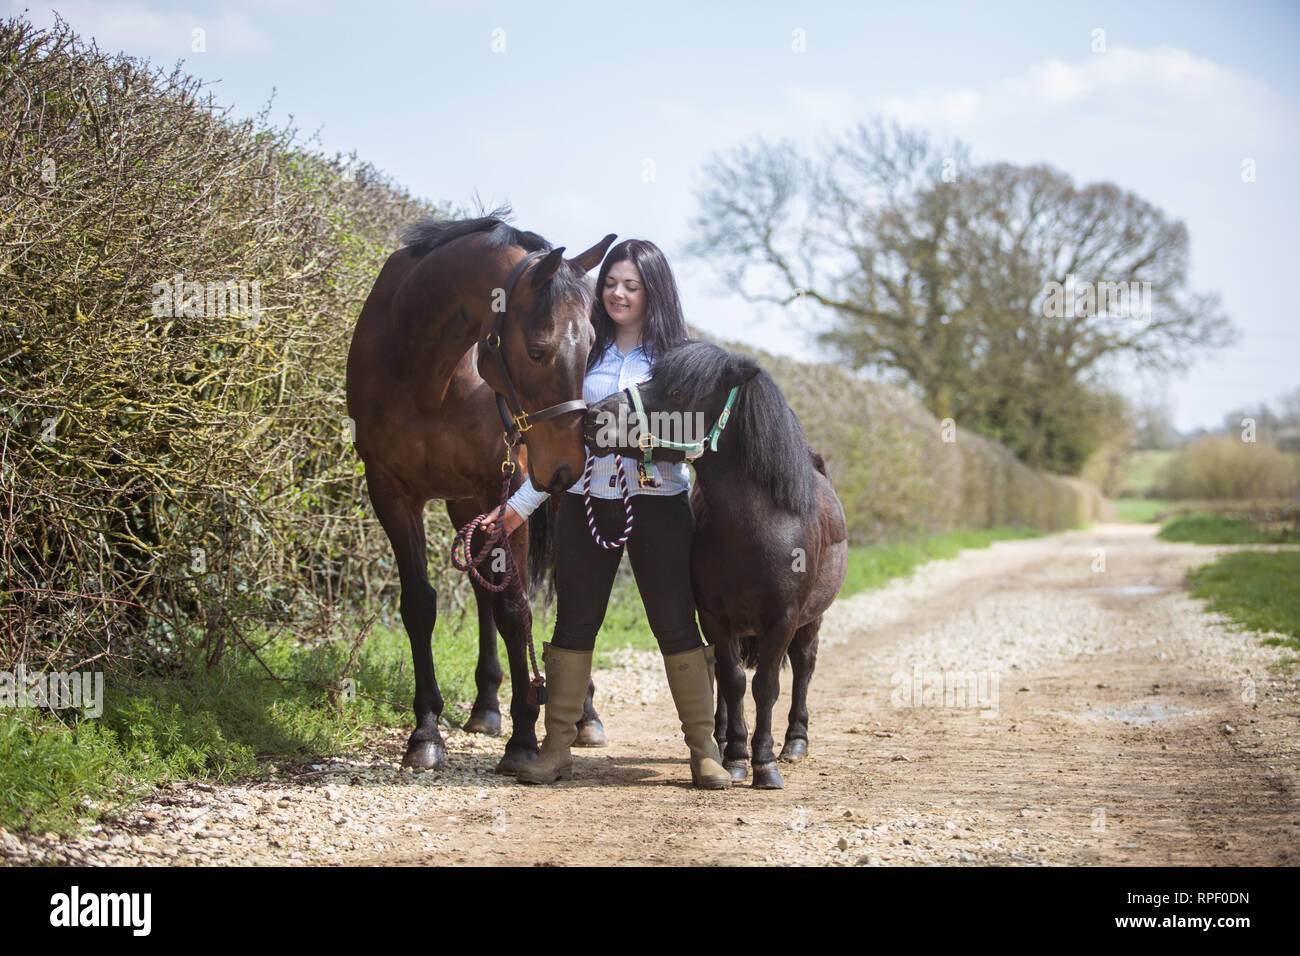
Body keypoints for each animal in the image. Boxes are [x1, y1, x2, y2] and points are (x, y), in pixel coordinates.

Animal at [343, 213, 611, 775]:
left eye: (590, 346)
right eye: (537, 350)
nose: (566, 465)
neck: (425, 371)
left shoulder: (504, 489)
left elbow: (516, 609)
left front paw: (524, 737)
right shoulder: (390, 492)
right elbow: (421, 605)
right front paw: (425, 731)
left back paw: (582, 713)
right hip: (467, 504)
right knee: (482, 591)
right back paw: (486, 706)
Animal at [590, 340, 852, 790]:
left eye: (678, 392)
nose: (594, 414)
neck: (759, 530)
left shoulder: (783, 618)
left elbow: (766, 686)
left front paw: (765, 763)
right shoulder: (712, 615)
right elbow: (732, 681)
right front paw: (735, 757)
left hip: (811, 620)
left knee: (804, 666)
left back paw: (795, 741)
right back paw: (722, 736)